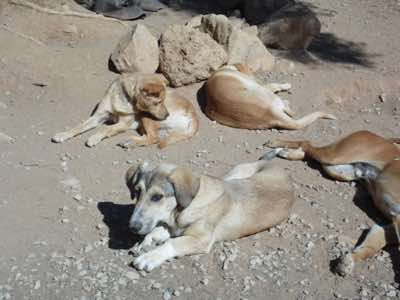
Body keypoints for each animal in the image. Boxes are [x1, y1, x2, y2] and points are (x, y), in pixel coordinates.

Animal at [51, 72, 198, 149]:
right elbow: (79, 127)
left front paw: (94, 137)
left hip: (145, 115)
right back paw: (131, 140)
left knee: (154, 138)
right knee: (153, 136)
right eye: (158, 102)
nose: (167, 115)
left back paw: (131, 142)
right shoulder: (98, 117)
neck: (125, 98)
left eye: (163, 100)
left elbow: (106, 128)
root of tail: (194, 115)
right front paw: (63, 134)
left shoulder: (124, 123)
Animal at [126, 159, 296, 272]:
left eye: (157, 197)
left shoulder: (201, 239)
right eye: (137, 191)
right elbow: (156, 232)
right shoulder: (173, 227)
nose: (132, 227)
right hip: (234, 175)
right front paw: (144, 244)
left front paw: (150, 257)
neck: (181, 211)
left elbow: (171, 243)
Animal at [205, 64, 336, 130]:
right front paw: (286, 85)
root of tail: (273, 115)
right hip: (263, 91)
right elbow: (275, 85)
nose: (257, 77)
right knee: (290, 110)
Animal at [262, 129, 400, 180]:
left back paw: (285, 152)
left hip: (344, 171)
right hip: (335, 155)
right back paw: (277, 144)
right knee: (306, 144)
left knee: (306, 151)